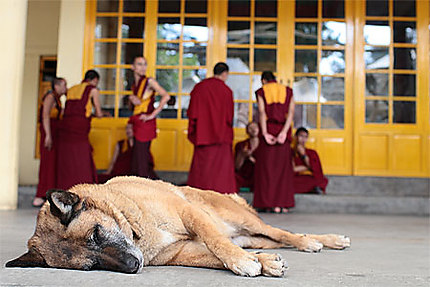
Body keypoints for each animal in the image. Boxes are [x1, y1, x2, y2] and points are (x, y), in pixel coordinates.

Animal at [5, 177, 350, 278]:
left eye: (96, 234)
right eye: (91, 266)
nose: (133, 266)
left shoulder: (189, 213)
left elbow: (216, 242)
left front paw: (241, 263)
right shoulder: (184, 252)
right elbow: (215, 254)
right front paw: (259, 263)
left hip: (242, 219)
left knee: (284, 233)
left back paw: (322, 241)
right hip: (253, 237)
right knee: (269, 241)